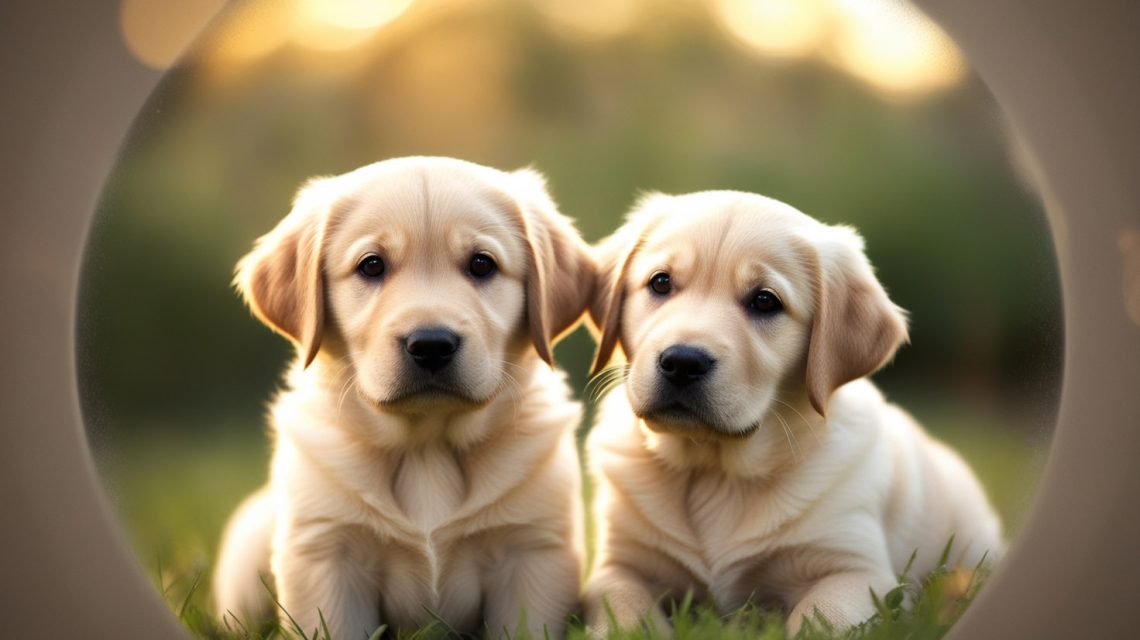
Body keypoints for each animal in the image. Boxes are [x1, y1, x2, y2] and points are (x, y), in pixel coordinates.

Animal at [210, 156, 597, 638]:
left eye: (482, 265)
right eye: (371, 266)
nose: (431, 344)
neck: (426, 444)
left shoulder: (532, 553)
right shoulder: (326, 555)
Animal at [583, 189, 1003, 634]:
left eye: (765, 301)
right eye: (660, 282)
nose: (682, 361)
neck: (717, 471)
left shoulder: (856, 572)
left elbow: (820, 618)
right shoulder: (619, 566)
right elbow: (624, 612)